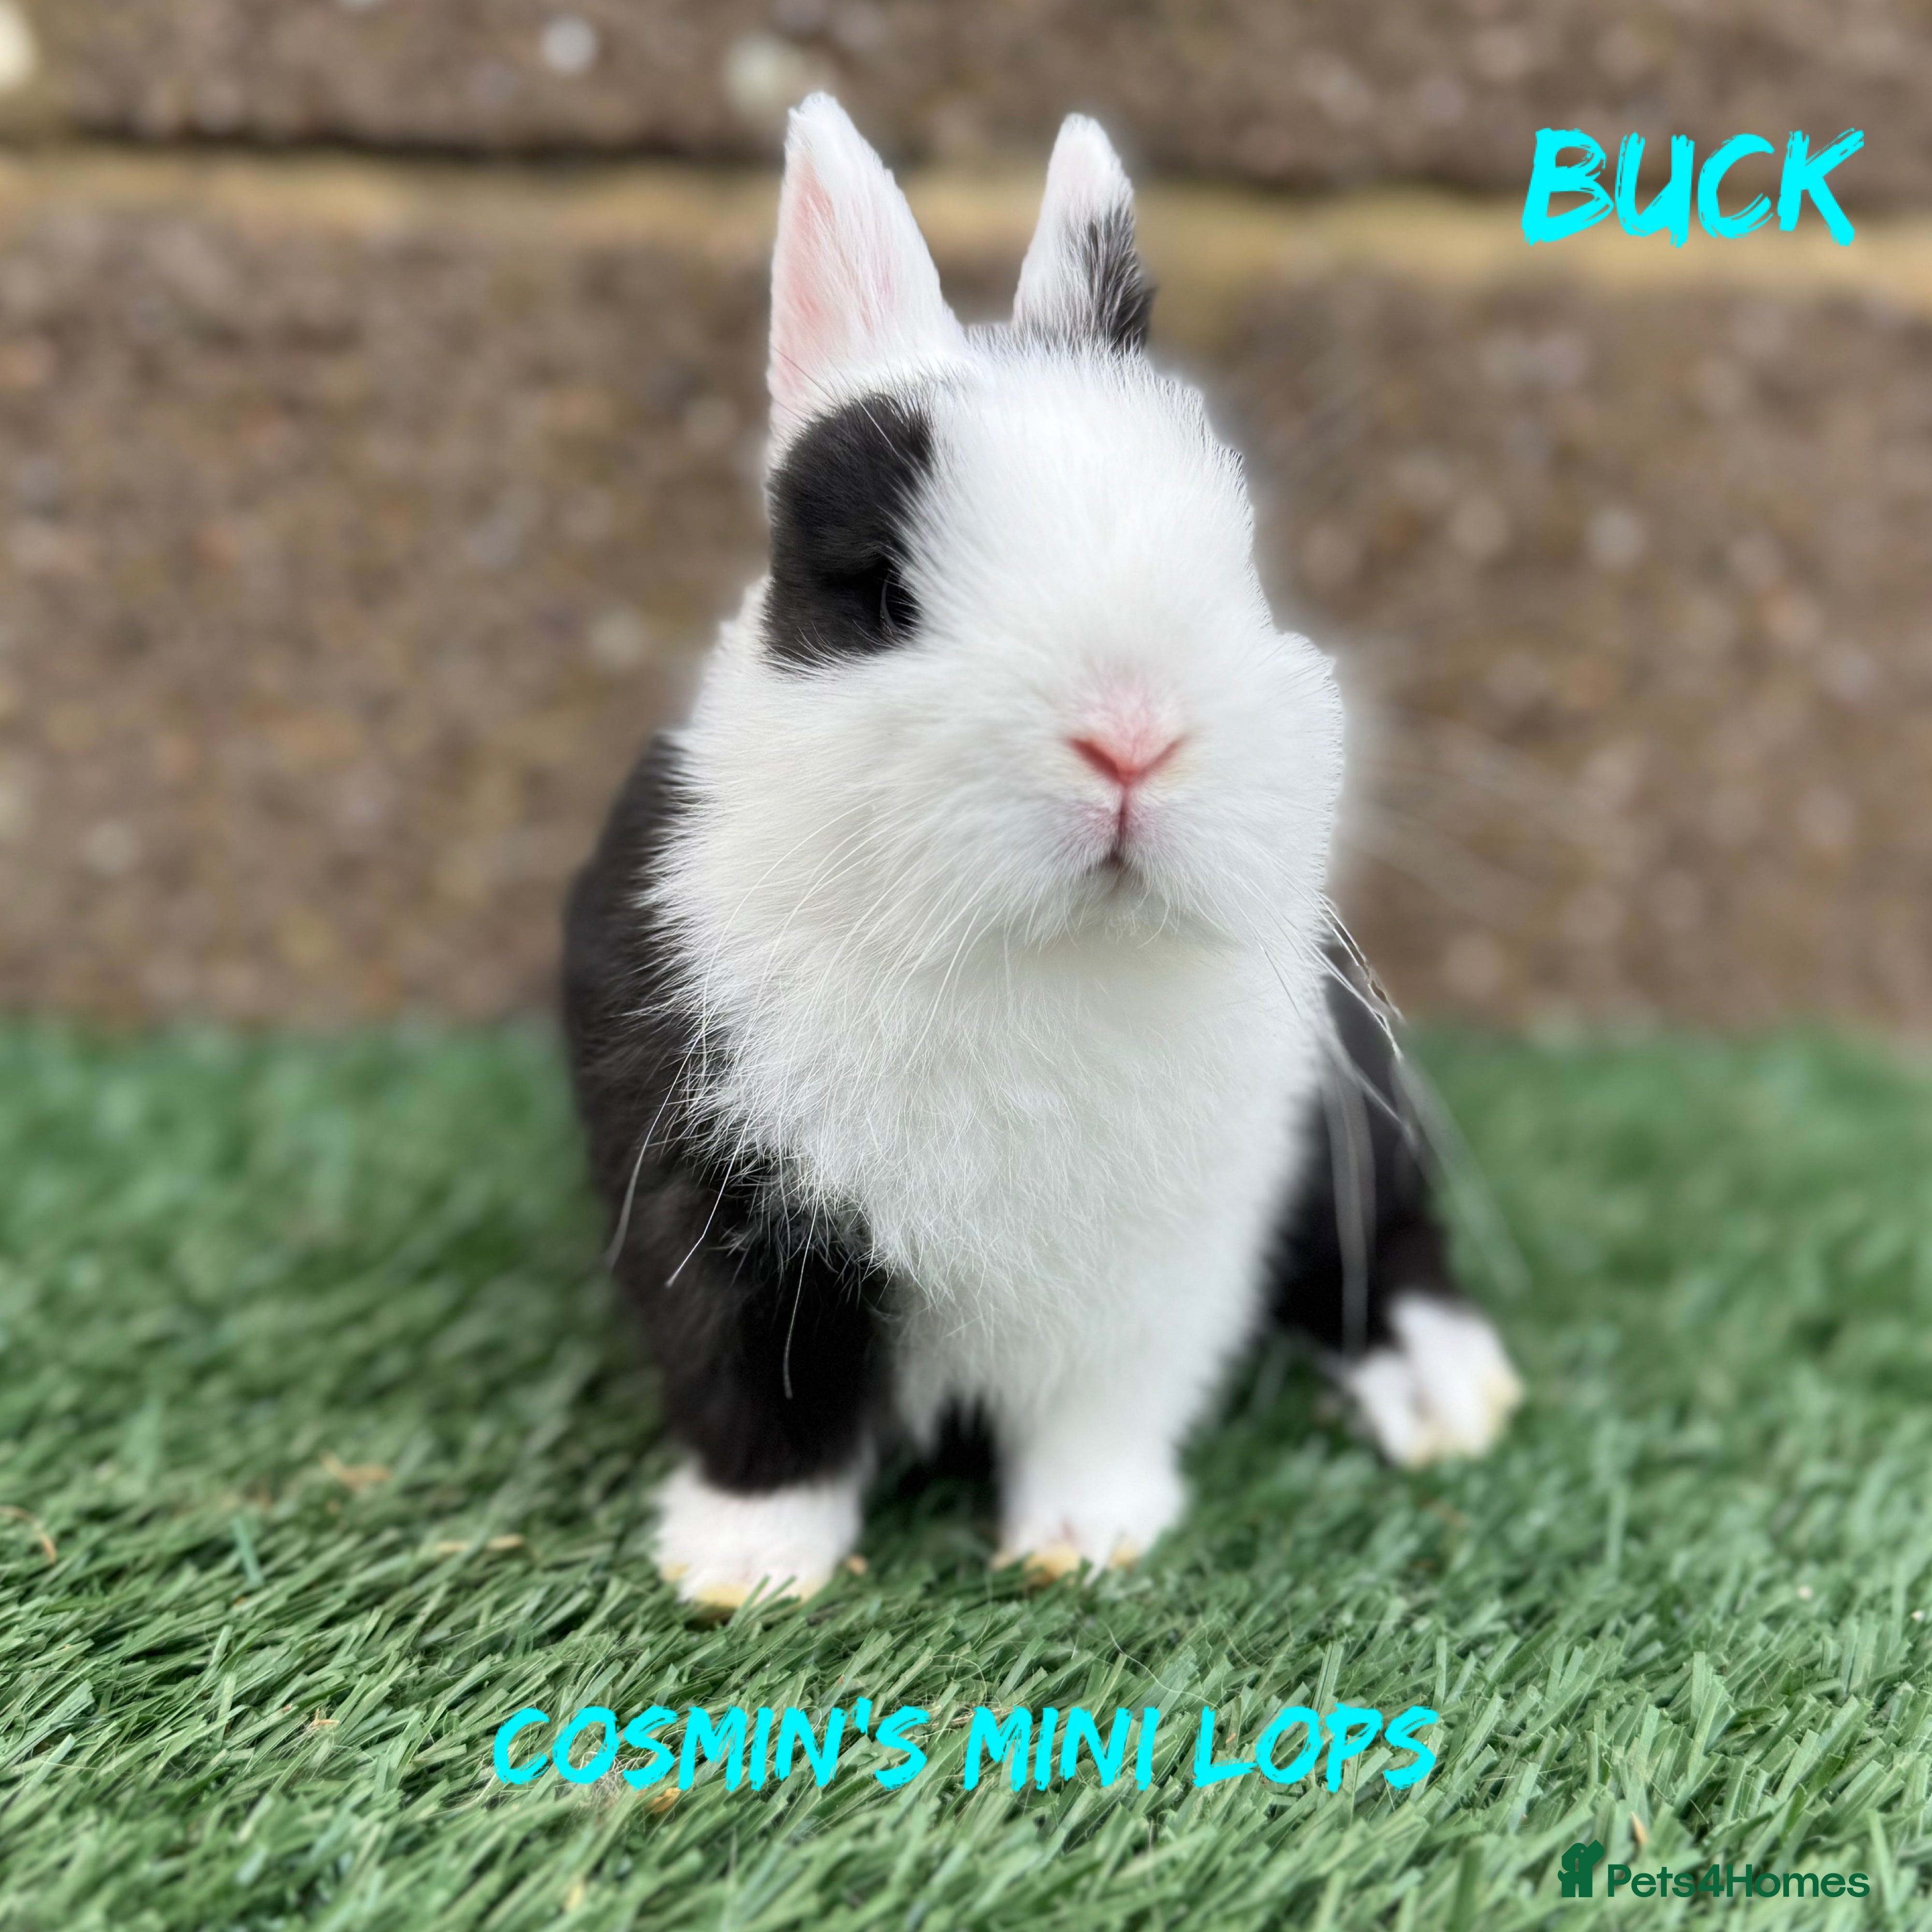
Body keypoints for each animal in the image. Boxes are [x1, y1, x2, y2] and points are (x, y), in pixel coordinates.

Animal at [562, 95, 1523, 1608]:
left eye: (1239, 564)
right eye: (882, 593)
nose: (1130, 736)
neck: (1026, 951)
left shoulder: (1166, 1263)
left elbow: (1100, 1411)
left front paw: (1084, 1544)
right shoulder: (712, 1209)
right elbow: (762, 1395)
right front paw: (745, 1568)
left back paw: (1443, 1389)